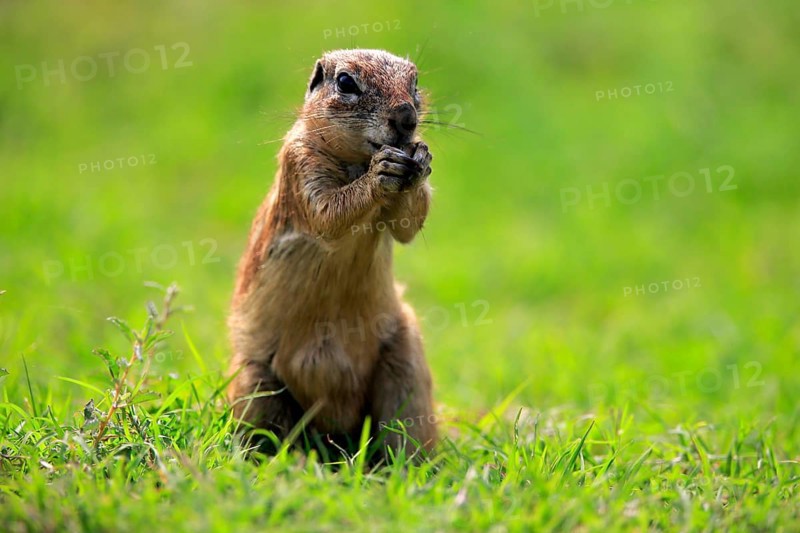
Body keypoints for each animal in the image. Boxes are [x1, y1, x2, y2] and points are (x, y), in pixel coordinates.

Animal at [227, 49, 437, 460]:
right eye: (345, 83)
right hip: (255, 385)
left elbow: (406, 226)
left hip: (406, 368)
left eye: (416, 82)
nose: (406, 118)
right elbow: (328, 212)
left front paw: (420, 158)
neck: (357, 161)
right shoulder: (301, 166)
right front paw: (380, 174)